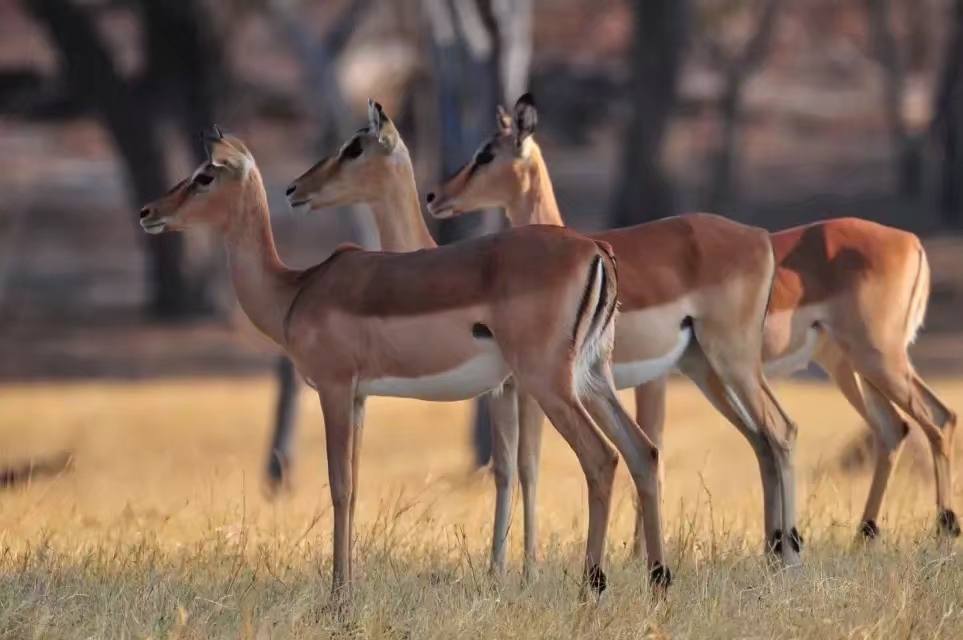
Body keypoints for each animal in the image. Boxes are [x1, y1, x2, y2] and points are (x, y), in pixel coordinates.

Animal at [139, 125, 672, 600]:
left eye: (205, 175)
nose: (148, 211)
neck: (295, 289)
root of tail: (595, 249)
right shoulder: (359, 397)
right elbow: (354, 486)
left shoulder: (335, 388)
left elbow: (340, 486)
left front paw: (339, 597)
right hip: (592, 379)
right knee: (642, 451)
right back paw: (657, 580)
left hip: (549, 383)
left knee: (601, 457)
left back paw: (591, 587)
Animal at [432, 94, 963, 560]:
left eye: (486, 152)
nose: (437, 195)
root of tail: (911, 241)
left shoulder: (639, 380)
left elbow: (628, 449)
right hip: (846, 367)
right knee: (888, 428)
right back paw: (846, 536)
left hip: (859, 358)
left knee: (926, 419)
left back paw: (925, 532)